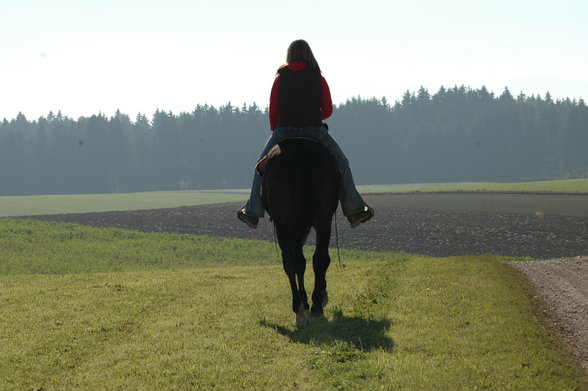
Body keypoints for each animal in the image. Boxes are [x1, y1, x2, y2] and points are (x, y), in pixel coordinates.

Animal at [260, 138, 340, 328]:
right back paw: (313, 304)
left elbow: (298, 262)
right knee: (317, 259)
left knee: (294, 263)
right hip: (319, 221)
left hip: (287, 225)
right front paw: (318, 297)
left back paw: (300, 308)